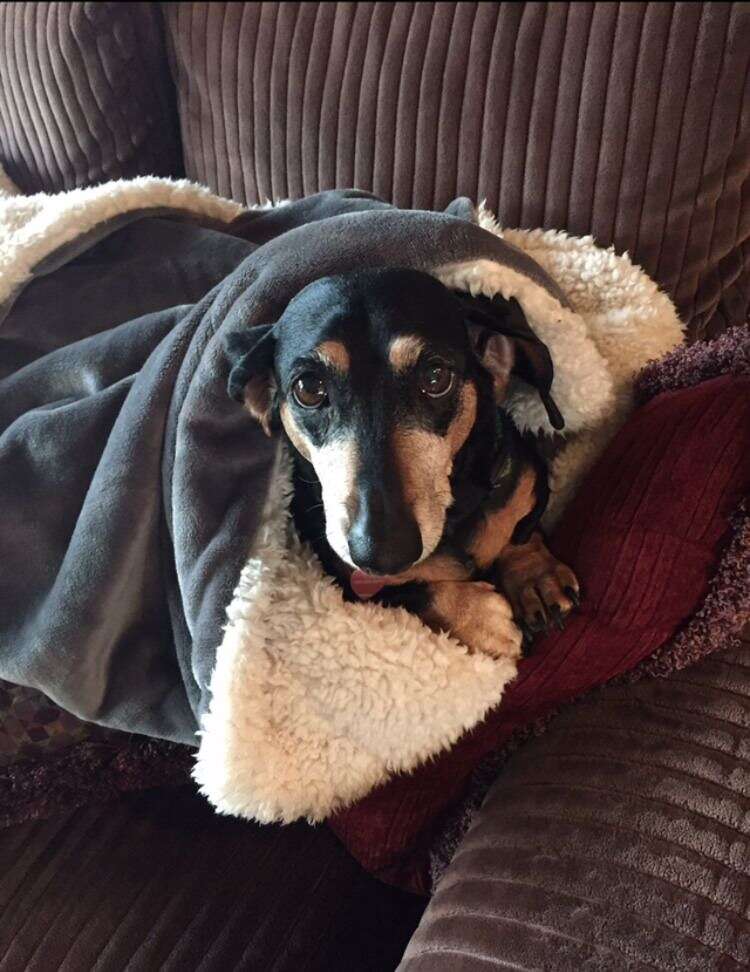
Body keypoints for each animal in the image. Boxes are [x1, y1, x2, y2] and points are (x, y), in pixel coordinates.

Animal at [223, 270, 580, 656]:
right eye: (308, 388)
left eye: (436, 377)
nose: (384, 553)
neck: (455, 519)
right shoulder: (346, 577)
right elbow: (410, 592)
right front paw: (482, 619)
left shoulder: (523, 480)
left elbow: (520, 529)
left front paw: (535, 577)